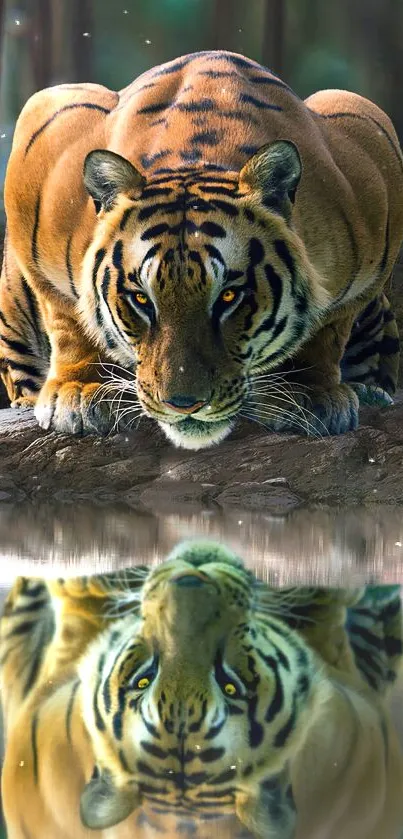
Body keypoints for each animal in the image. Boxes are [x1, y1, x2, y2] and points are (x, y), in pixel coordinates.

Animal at [0, 49, 403, 450]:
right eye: (141, 299)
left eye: (228, 297)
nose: (183, 404)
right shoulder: (43, 130)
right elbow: (67, 315)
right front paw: (84, 390)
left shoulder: (370, 150)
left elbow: (328, 328)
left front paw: (306, 392)